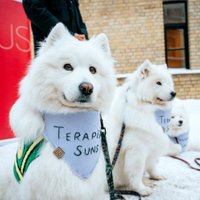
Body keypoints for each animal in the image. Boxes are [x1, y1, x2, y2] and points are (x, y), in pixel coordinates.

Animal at [107, 60, 176, 196]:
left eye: (167, 82)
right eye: (158, 83)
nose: (173, 93)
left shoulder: (152, 146)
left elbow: (152, 165)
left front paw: (156, 176)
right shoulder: (137, 150)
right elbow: (137, 172)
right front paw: (141, 189)